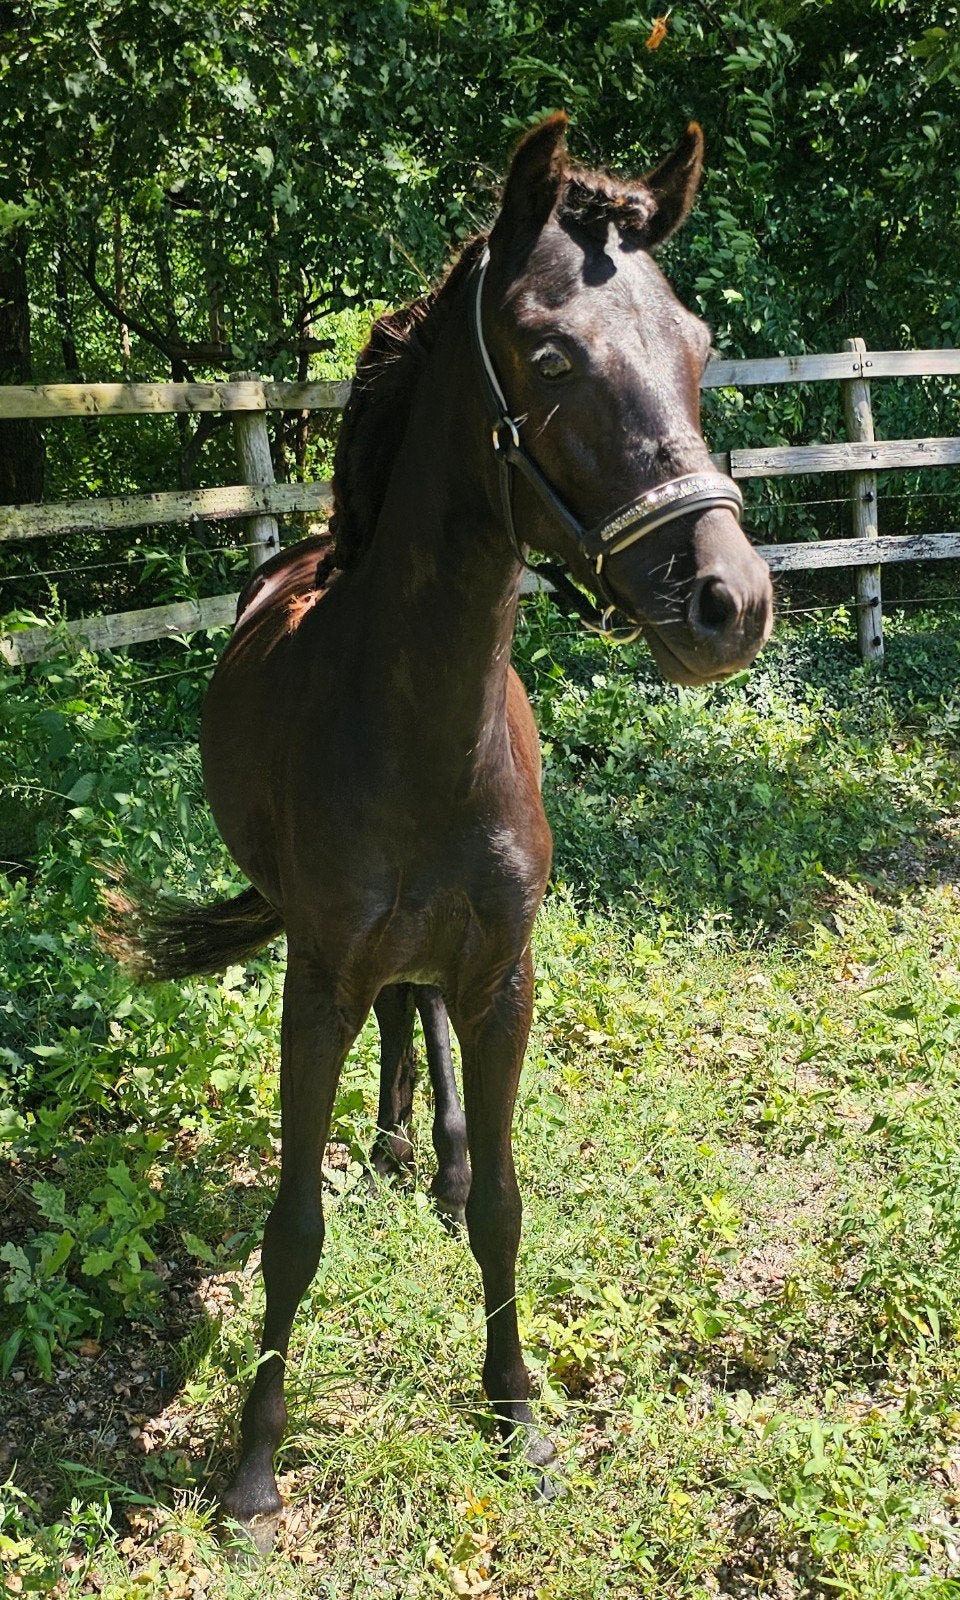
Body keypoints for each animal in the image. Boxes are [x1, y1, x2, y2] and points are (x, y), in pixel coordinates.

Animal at [103, 113, 773, 1547]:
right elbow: (293, 1228)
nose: (729, 602)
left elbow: (511, 1209)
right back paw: (403, 1137)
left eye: (694, 346)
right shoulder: (313, 979)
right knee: (400, 1015)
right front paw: (253, 1470)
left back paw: (437, 1154)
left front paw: (517, 1412)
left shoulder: (507, 975)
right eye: (552, 353)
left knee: (423, 1019)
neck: (421, 723)